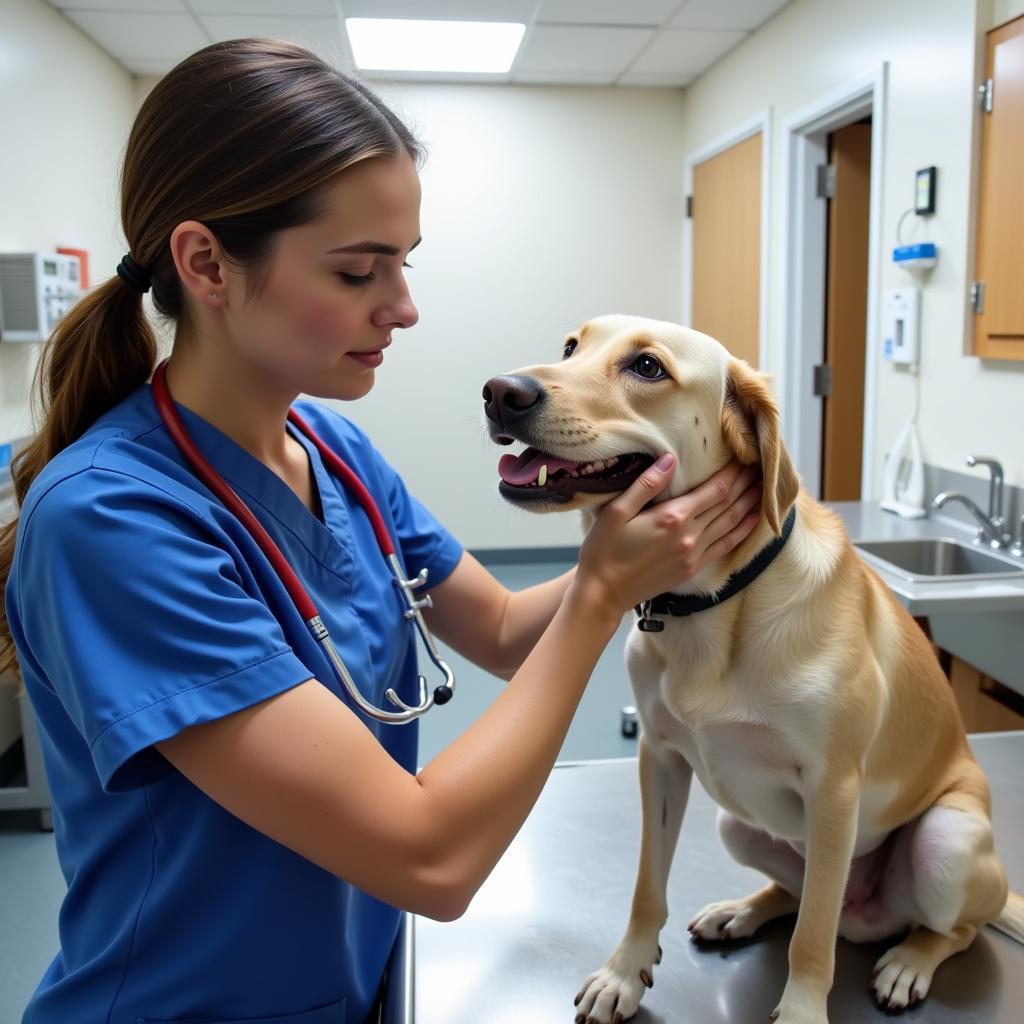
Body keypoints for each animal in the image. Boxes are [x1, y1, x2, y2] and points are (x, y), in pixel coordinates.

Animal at [481, 313, 1024, 1024]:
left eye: (648, 367)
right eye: (572, 347)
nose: (499, 391)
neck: (713, 604)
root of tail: (871, 917)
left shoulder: (834, 791)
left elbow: (812, 940)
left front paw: (801, 1011)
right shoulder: (659, 758)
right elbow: (647, 887)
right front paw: (625, 972)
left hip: (947, 841)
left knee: (936, 926)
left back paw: (910, 961)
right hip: (737, 822)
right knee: (799, 897)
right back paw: (741, 911)